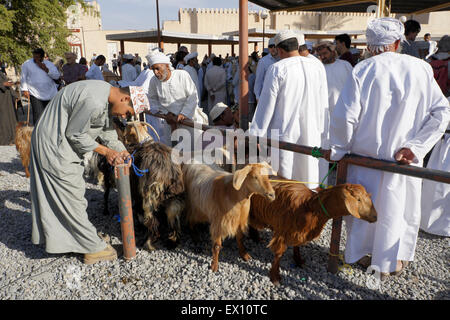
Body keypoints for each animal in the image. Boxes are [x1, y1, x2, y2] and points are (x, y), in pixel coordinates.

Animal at [246, 181, 376, 284]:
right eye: (358, 199)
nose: (375, 216)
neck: (310, 207)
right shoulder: (282, 232)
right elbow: (279, 254)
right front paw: (275, 277)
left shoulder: (298, 232)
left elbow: (297, 246)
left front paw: (299, 261)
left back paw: (255, 238)